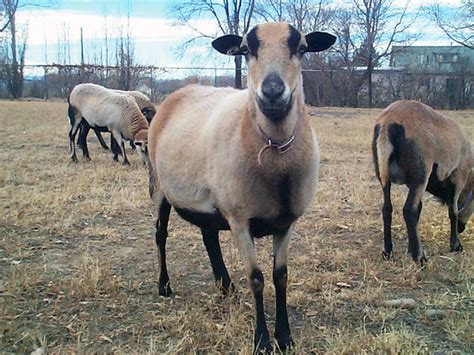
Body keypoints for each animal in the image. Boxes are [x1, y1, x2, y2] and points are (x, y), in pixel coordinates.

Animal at [372, 100, 472, 264]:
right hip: (421, 172)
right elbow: (453, 211)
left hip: (383, 173)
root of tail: (387, 123)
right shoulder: (457, 178)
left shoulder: (411, 183)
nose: (461, 229)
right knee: (408, 210)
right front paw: (456, 245)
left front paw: (409, 249)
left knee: (387, 209)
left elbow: (419, 208)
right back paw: (420, 258)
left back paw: (387, 252)